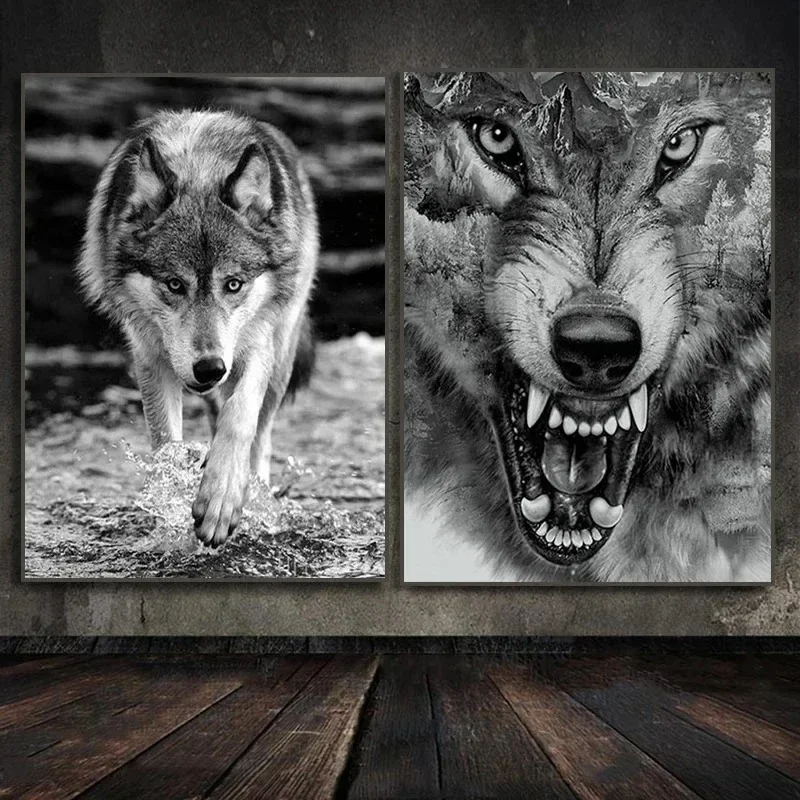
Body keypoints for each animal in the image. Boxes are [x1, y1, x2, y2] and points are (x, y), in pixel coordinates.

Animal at [78, 109, 318, 547]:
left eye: (233, 284)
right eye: (175, 284)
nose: (209, 368)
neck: (200, 166)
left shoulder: (256, 345)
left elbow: (240, 418)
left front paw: (222, 496)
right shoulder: (150, 357)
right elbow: (166, 446)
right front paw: (171, 504)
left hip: (281, 356)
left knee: (259, 434)